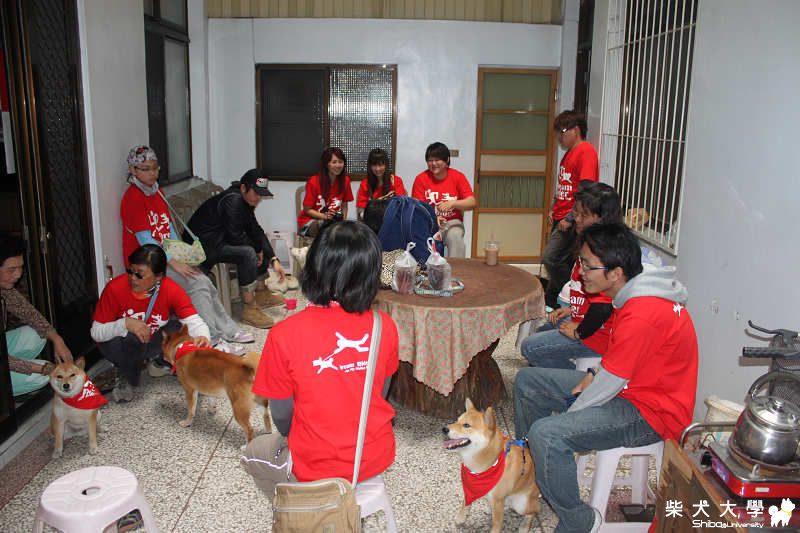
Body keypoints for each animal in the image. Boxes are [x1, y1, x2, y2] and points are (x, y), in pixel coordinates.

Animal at [443, 399, 541, 533]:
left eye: (466, 425)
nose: (444, 429)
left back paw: (525, 526)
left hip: (521, 504)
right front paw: (461, 517)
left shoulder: (498, 500)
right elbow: (465, 503)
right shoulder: (471, 488)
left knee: (534, 511)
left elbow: (497, 523)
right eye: (457, 420)